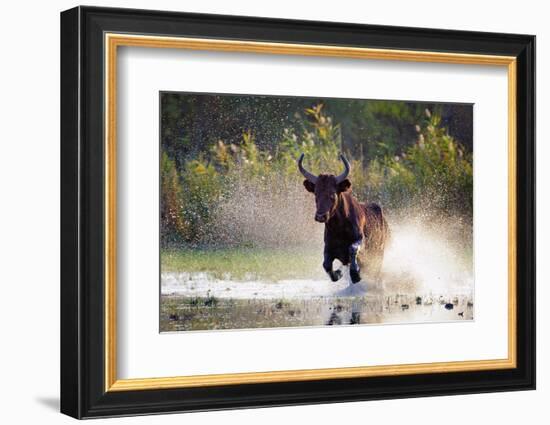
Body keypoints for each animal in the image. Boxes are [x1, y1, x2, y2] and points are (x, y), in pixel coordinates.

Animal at [300, 154, 390, 284]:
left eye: (332, 194)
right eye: (316, 194)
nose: (321, 216)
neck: (339, 228)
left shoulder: (360, 241)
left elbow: (353, 249)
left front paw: (355, 274)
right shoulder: (329, 247)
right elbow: (326, 264)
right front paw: (338, 273)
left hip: (379, 254)